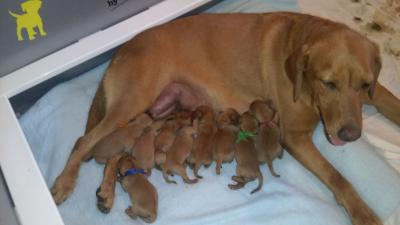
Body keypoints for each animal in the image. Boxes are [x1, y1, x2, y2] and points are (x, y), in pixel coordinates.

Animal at [51, 12, 400, 225]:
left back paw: (107, 192)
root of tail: (120, 50)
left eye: (364, 84)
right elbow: (337, 177)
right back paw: (64, 184)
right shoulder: (296, 137)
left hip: (139, 115)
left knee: (113, 153)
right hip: (133, 100)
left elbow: (393, 103)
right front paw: (362, 212)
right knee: (84, 141)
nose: (351, 135)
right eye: (329, 83)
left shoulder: (377, 93)